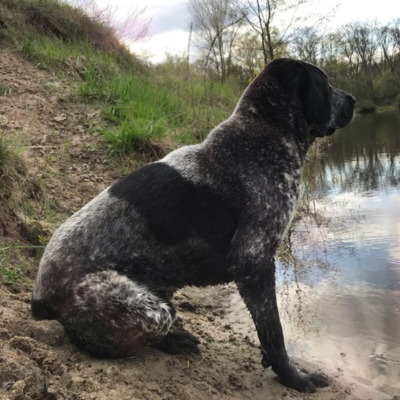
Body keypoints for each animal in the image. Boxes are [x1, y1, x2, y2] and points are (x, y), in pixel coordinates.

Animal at [32, 59, 356, 394]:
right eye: (325, 83)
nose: (353, 100)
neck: (262, 136)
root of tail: (40, 296)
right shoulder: (253, 262)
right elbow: (274, 334)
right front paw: (294, 378)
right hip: (149, 311)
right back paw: (169, 341)